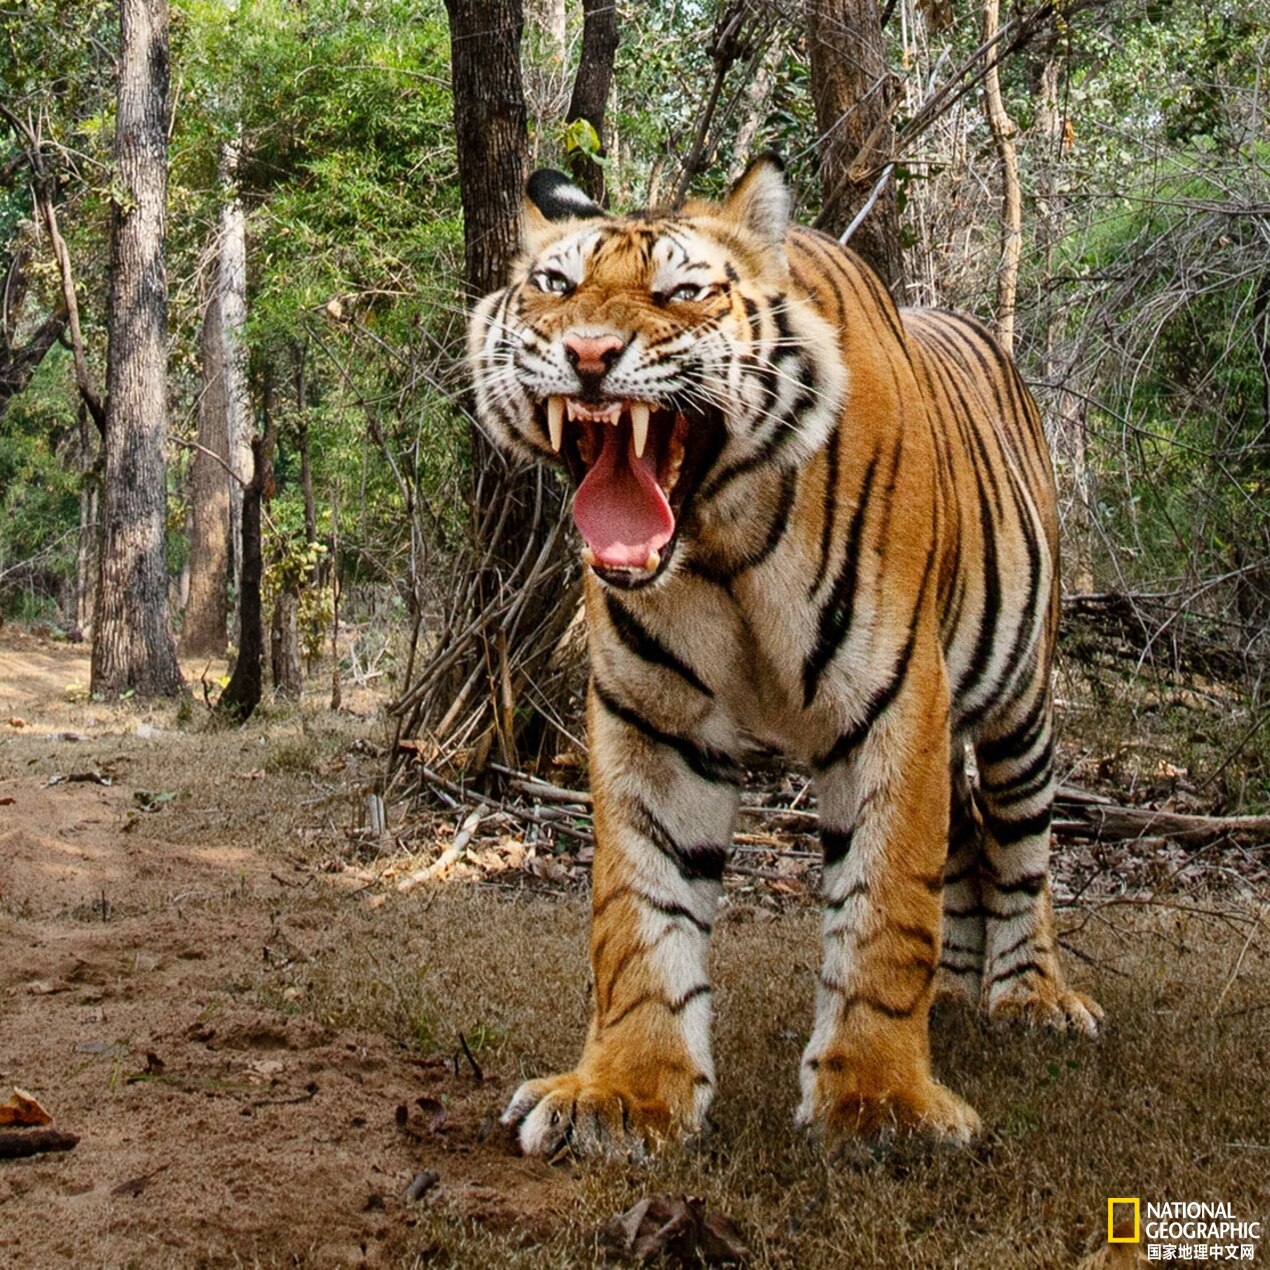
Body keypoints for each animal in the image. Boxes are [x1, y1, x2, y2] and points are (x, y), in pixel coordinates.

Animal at [468, 153, 1103, 1158]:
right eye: (555, 287)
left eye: (681, 292)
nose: (590, 354)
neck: (719, 543)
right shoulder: (652, 719)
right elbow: (638, 912)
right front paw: (623, 1094)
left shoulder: (896, 704)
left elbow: (886, 903)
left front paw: (882, 1103)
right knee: (967, 831)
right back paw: (958, 986)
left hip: (1020, 701)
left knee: (1022, 840)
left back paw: (1032, 995)